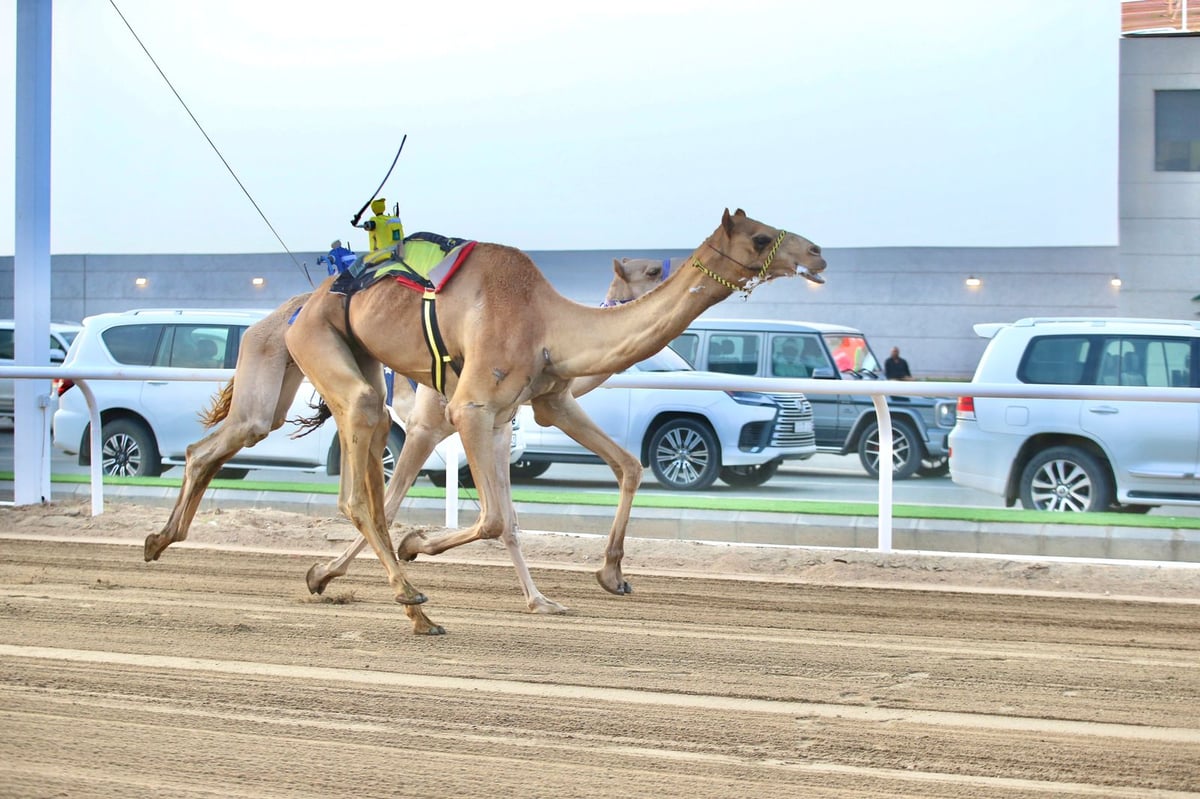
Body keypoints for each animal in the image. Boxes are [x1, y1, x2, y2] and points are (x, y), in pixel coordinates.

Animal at [283, 206, 825, 633]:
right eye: (759, 237)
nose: (818, 253)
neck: (548, 324)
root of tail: (307, 298)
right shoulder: (465, 409)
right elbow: (491, 516)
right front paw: (416, 543)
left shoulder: (519, 411)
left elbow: (547, 501)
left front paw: (572, 590)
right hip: (324, 348)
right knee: (364, 492)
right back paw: (408, 603)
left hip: (370, 372)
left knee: (373, 480)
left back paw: (340, 580)